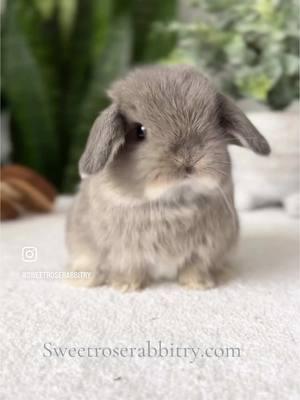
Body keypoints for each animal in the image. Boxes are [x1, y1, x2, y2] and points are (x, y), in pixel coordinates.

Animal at [66, 65, 272, 290]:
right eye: (139, 131)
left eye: (216, 124)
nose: (188, 158)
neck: (173, 202)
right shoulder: (125, 253)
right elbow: (130, 268)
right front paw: (126, 286)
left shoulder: (204, 251)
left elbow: (194, 268)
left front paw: (199, 285)